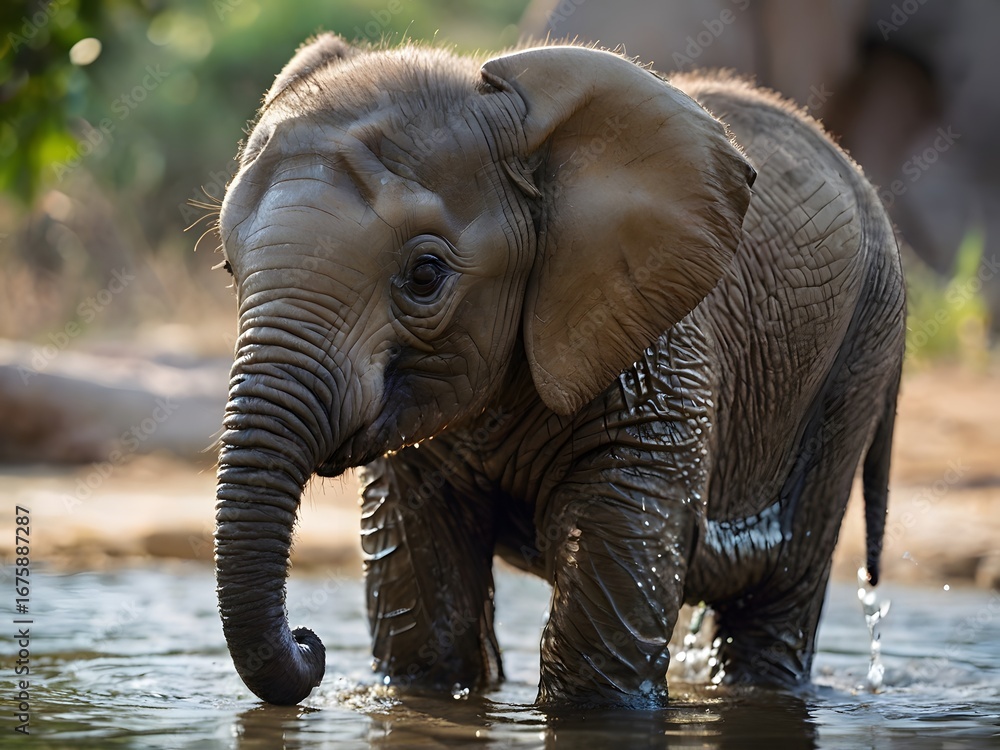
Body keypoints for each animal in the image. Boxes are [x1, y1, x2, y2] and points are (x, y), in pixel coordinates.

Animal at [213, 34, 906, 708]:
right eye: (228, 268)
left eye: (425, 275)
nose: (310, 642)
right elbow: (425, 628)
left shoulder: (654, 366)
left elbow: (599, 648)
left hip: (860, 353)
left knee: (783, 588)